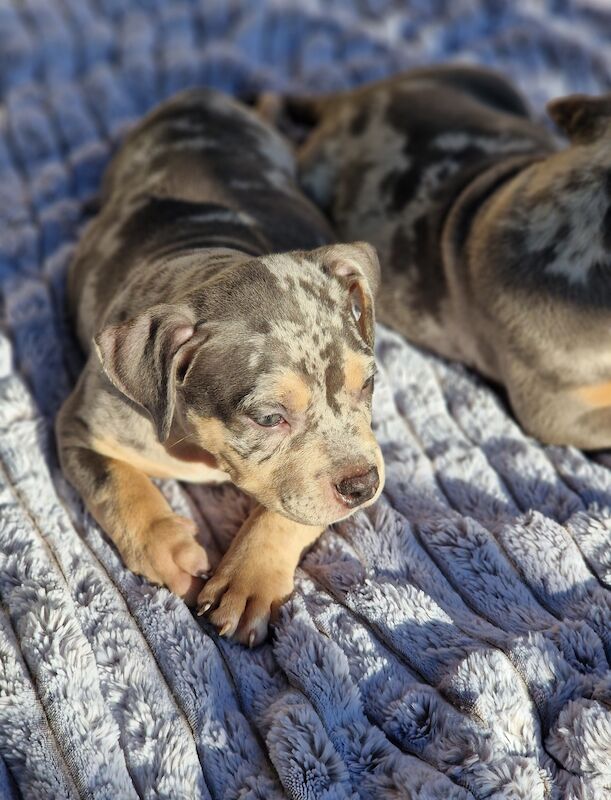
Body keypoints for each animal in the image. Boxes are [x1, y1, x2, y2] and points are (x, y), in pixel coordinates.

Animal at [57, 90, 382, 648]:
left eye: (370, 385)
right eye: (269, 418)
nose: (363, 486)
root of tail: (201, 95)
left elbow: (289, 512)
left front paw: (248, 579)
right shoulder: (80, 425)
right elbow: (115, 484)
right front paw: (168, 549)